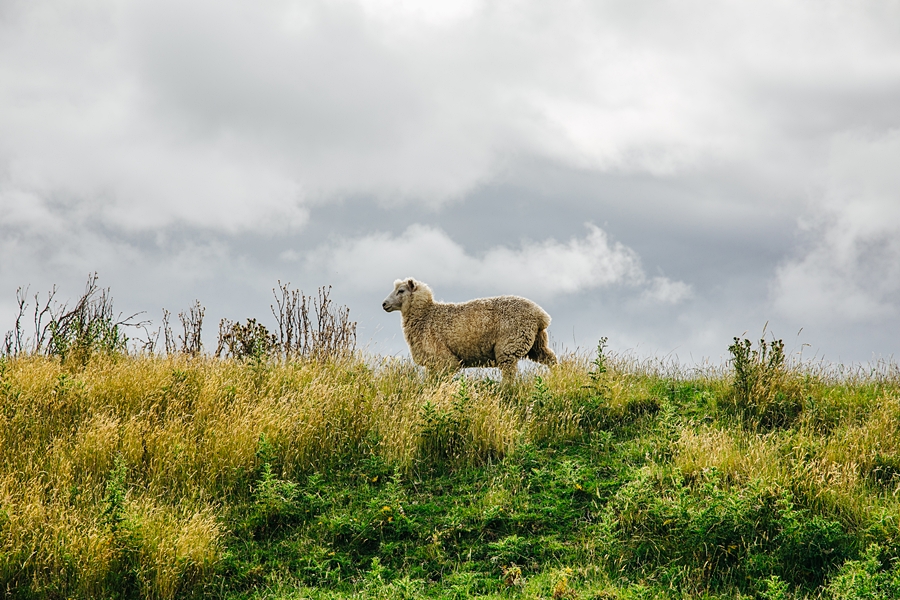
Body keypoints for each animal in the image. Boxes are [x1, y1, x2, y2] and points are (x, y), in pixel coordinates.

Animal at [380, 278, 556, 380]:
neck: (426, 314)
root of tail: (541, 315)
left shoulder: (445, 359)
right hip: (535, 343)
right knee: (551, 359)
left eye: (401, 291)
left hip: (510, 346)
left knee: (509, 375)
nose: (384, 304)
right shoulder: (434, 363)